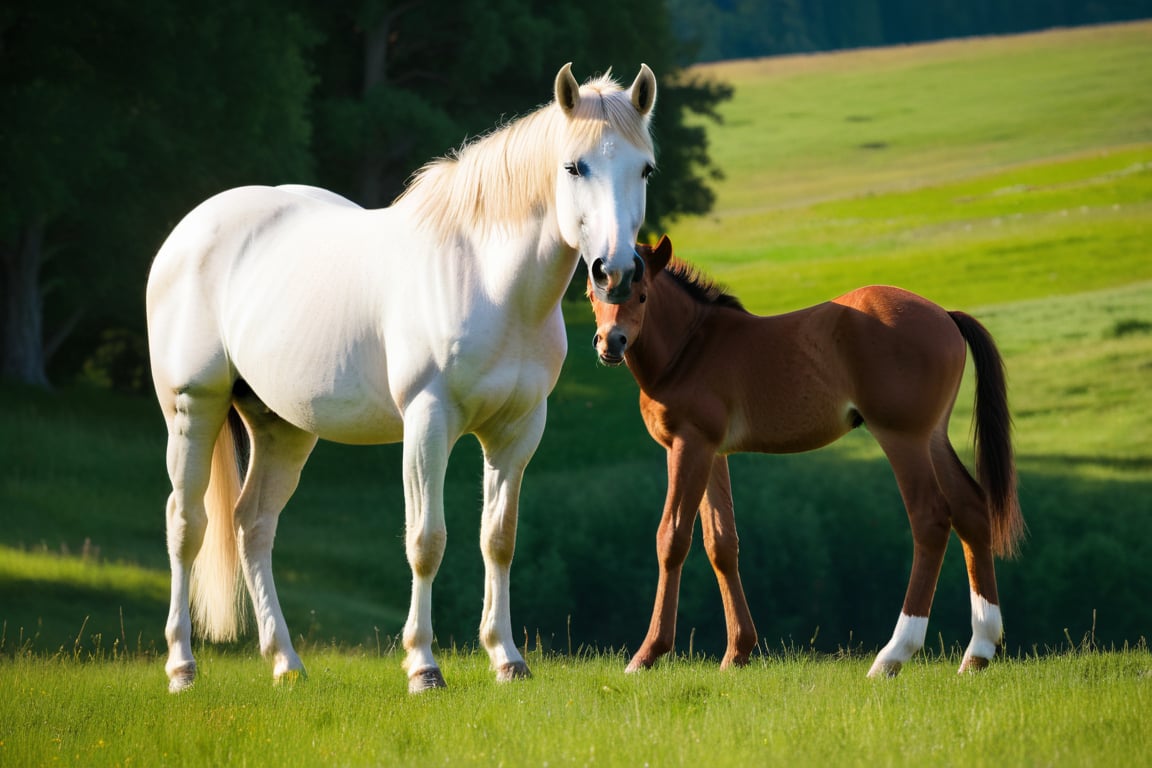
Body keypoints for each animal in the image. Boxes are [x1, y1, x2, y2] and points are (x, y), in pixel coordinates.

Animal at [144, 63, 658, 695]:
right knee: (186, 524)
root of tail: (188, 232)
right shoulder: (427, 421)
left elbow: (499, 539)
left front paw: (507, 658)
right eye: (573, 166)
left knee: (253, 525)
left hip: (281, 427)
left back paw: (286, 662)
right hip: (193, 407)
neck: (489, 281)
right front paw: (423, 666)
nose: (616, 273)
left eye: (645, 168)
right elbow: (426, 541)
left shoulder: (516, 432)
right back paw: (182, 666)